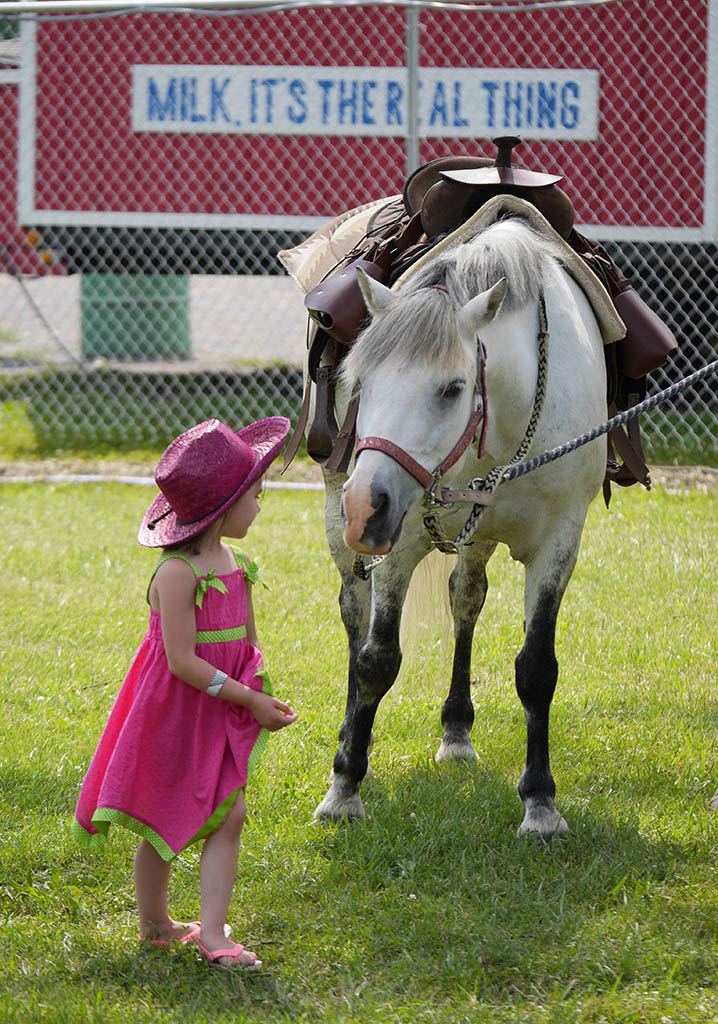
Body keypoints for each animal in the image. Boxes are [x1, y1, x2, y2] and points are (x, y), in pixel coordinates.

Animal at [305, 209, 614, 839]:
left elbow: (536, 669)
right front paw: (344, 787)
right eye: (361, 383)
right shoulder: (396, 545)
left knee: (466, 597)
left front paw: (541, 803)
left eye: (451, 388)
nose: (364, 504)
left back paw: (456, 730)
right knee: (354, 615)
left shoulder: (559, 544)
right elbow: (376, 660)